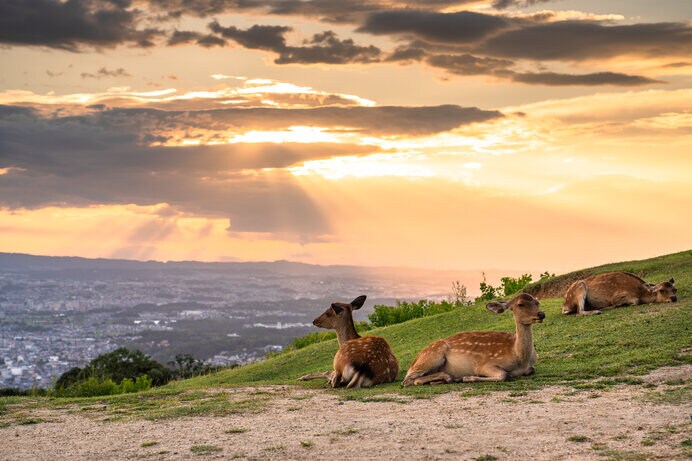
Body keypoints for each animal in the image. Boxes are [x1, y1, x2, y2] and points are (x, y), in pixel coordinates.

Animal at [400, 292, 548, 386]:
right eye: (520, 304)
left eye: (537, 302)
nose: (541, 314)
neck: (519, 358)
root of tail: (414, 360)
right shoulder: (485, 364)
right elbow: (504, 375)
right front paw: (468, 377)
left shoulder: (530, 366)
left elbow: (531, 370)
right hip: (433, 355)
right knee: (408, 379)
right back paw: (450, 377)